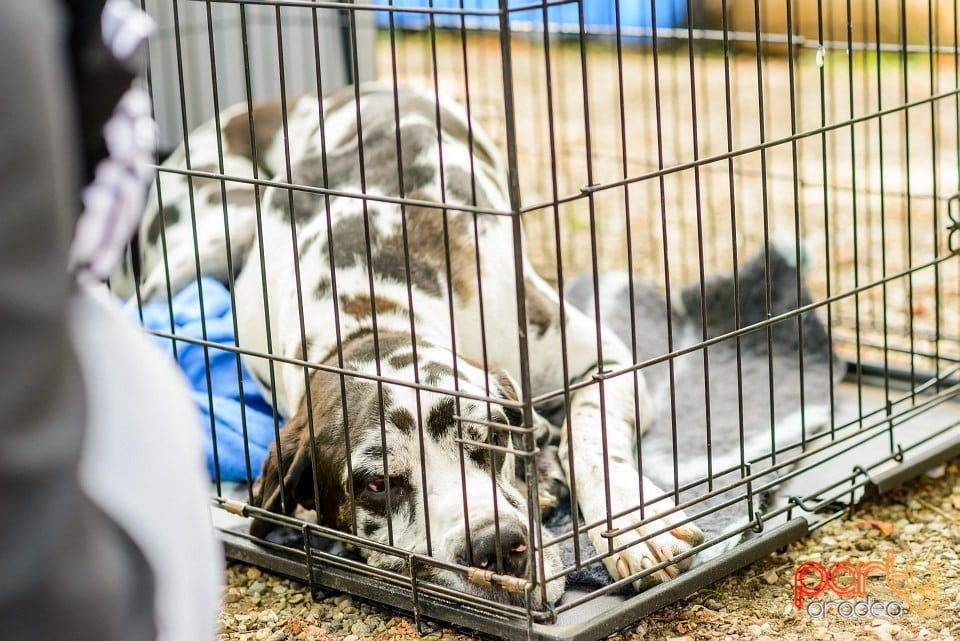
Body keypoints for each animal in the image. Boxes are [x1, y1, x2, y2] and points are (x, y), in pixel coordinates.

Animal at [122, 82, 704, 604]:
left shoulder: (599, 359)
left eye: (491, 437)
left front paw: (635, 526)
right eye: (376, 485)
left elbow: (592, 440)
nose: (496, 546)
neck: (370, 309)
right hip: (203, 245)